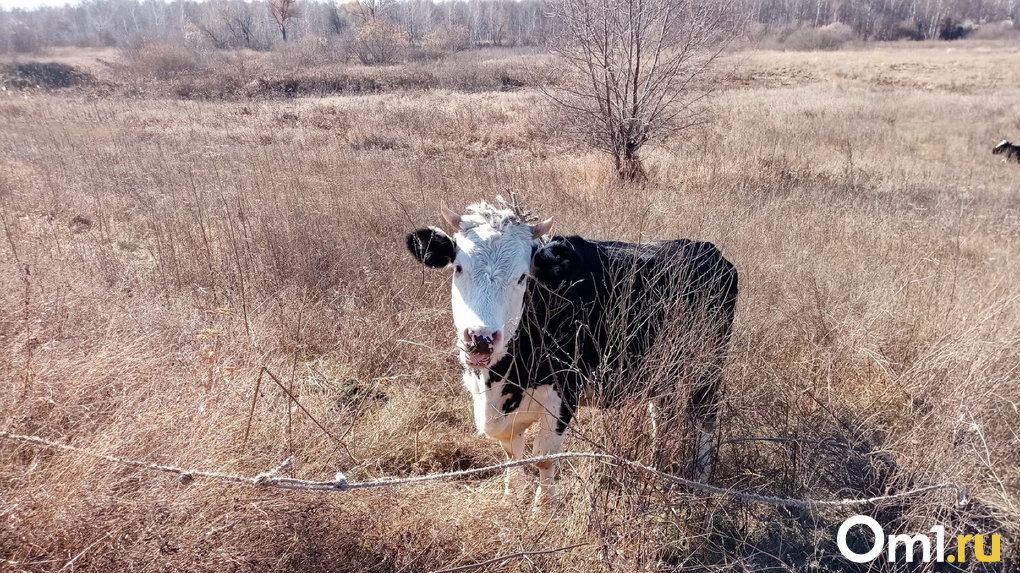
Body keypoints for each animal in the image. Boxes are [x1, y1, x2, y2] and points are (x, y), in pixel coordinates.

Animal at [401, 201, 738, 503]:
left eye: (522, 277)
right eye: (458, 268)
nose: (481, 339)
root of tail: (707, 249)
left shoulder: (564, 392)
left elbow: (543, 457)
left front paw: (543, 509)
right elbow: (511, 451)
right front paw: (511, 497)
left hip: (710, 364)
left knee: (706, 415)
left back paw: (701, 479)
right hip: (661, 370)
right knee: (663, 416)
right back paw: (654, 469)